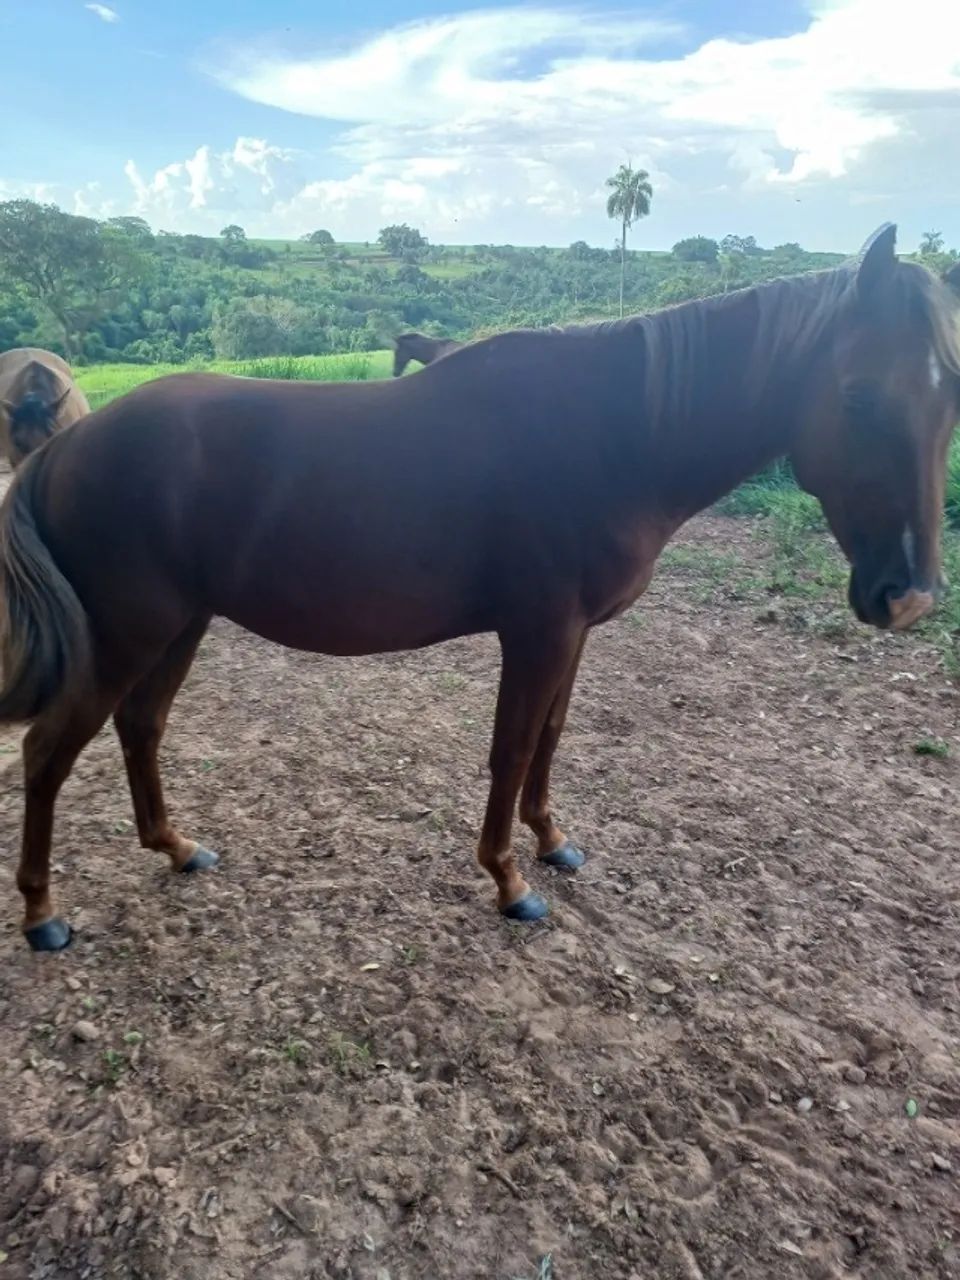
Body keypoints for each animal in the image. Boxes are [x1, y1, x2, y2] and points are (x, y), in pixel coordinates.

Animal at [2, 224, 959, 953]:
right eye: (858, 395)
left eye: (946, 399)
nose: (908, 596)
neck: (614, 434)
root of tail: (64, 448)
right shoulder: (538, 630)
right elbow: (512, 746)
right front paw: (507, 880)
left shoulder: (574, 634)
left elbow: (550, 740)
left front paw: (553, 844)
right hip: (130, 632)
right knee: (49, 751)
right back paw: (44, 914)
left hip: (181, 624)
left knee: (140, 726)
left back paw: (176, 847)